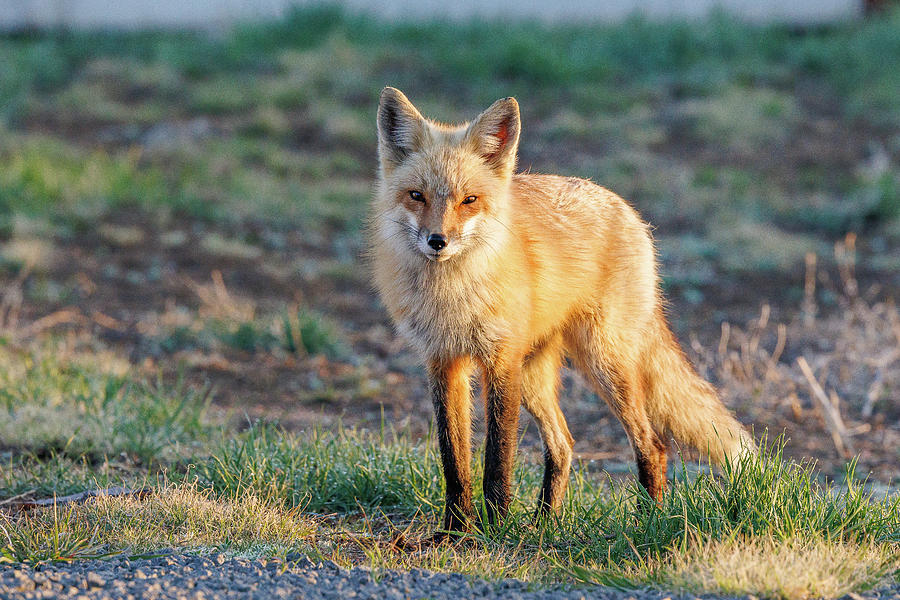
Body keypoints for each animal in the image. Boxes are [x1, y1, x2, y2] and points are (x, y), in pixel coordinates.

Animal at [370, 86, 756, 532]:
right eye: (417, 195)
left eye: (469, 200)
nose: (438, 241)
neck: (451, 296)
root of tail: (629, 212)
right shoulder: (443, 361)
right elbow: (455, 461)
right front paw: (455, 530)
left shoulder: (500, 360)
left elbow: (497, 459)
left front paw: (495, 529)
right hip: (536, 376)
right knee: (564, 445)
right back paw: (544, 523)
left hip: (603, 363)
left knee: (653, 445)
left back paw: (647, 521)